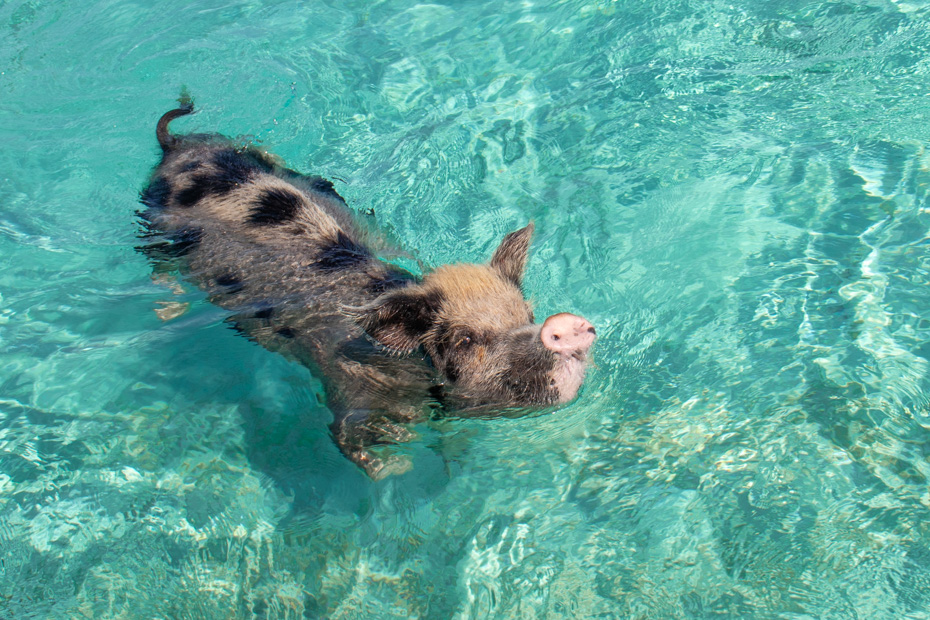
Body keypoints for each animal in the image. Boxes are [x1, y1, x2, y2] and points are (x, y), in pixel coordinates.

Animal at [139, 100, 596, 478]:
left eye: (527, 315)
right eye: (465, 339)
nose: (561, 326)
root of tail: (177, 146)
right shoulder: (346, 388)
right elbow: (351, 443)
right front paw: (399, 464)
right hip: (154, 225)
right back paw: (166, 311)